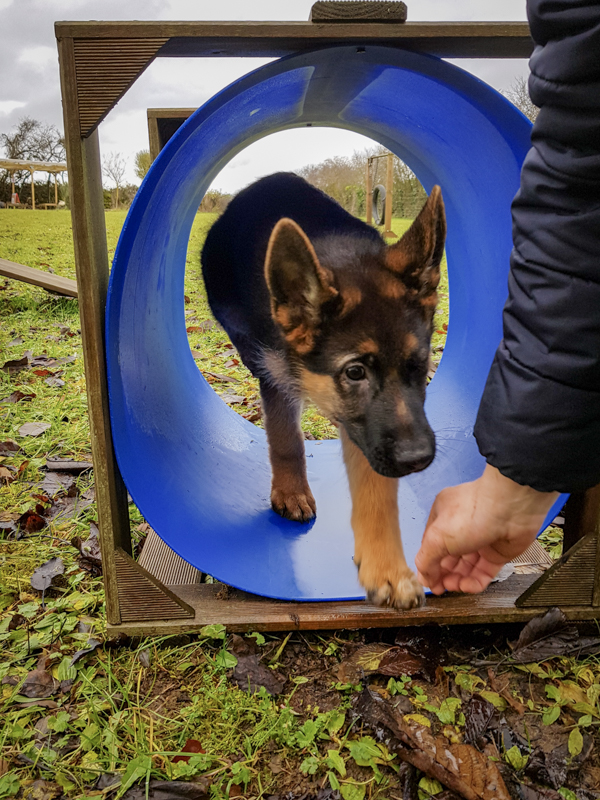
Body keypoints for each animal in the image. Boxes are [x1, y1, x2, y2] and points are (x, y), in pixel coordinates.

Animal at [202, 173, 446, 608]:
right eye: (355, 372)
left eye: (419, 364)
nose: (417, 459)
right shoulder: (278, 377)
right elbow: (286, 440)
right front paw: (291, 491)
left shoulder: (368, 432)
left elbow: (377, 489)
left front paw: (386, 567)